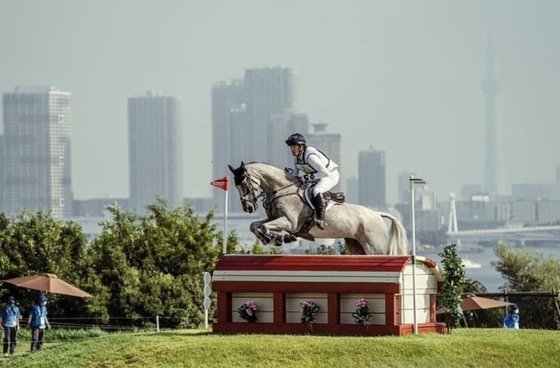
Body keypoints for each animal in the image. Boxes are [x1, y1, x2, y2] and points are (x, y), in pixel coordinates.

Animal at [226, 162, 406, 256]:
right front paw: (269, 238)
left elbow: (264, 226)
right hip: (357, 246)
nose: (249, 207)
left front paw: (276, 238)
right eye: (236, 186)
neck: (282, 189)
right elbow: (255, 225)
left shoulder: (290, 223)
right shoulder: (274, 219)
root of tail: (377, 214)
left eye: (244, 184)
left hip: (374, 247)